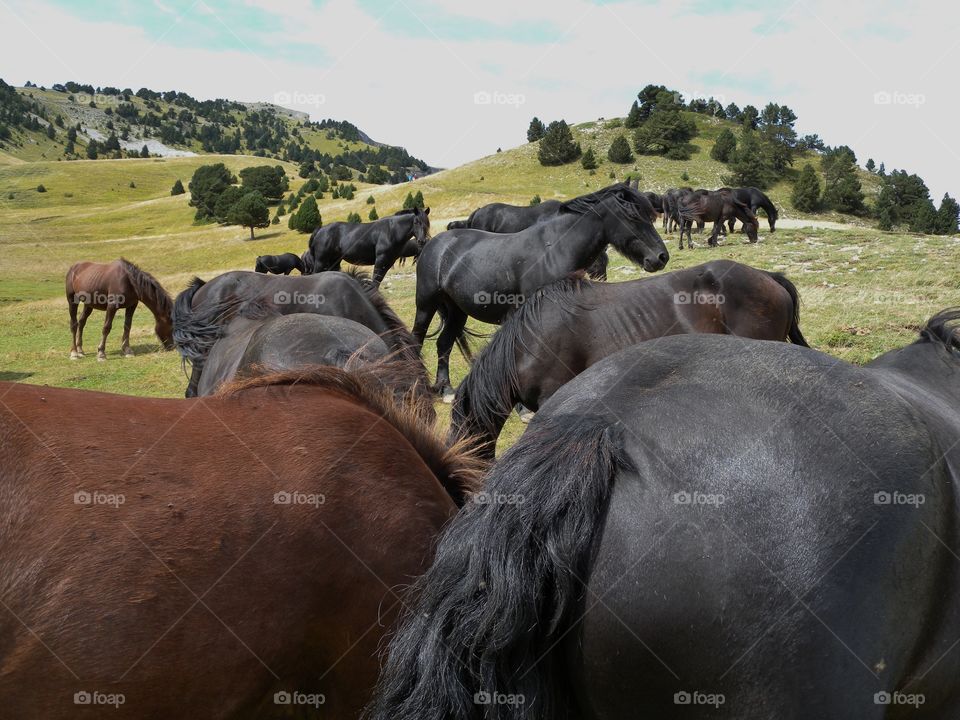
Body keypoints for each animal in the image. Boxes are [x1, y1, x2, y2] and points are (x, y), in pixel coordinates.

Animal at [410, 183, 668, 396]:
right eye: (633, 216)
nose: (661, 257)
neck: (555, 250)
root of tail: (434, 244)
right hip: (426, 304)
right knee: (417, 339)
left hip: (456, 311)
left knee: (444, 343)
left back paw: (445, 389)